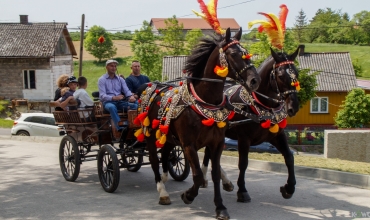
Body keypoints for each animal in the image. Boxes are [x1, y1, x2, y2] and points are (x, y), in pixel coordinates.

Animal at [137, 28, 262, 219]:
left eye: (246, 52)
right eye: (234, 54)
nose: (254, 80)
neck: (205, 101)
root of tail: (153, 87)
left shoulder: (216, 142)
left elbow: (215, 173)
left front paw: (220, 207)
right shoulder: (189, 145)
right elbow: (197, 175)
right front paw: (188, 195)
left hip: (168, 136)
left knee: (165, 154)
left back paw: (165, 178)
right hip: (150, 135)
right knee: (153, 160)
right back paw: (162, 191)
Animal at [201, 46, 300, 203]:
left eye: (296, 73)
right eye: (280, 75)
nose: (293, 107)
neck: (261, 106)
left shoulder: (277, 136)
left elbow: (289, 158)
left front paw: (289, 188)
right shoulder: (244, 139)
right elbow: (243, 163)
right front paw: (242, 190)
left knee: (209, 153)